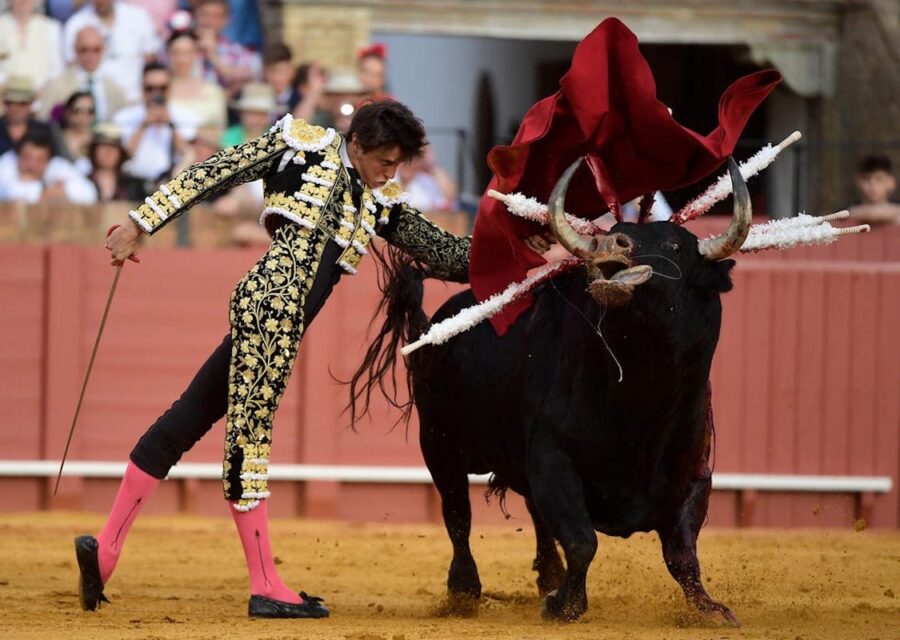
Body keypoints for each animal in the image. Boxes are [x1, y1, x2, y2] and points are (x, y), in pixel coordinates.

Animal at [352, 158, 752, 624]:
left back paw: (547, 576)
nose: (610, 242)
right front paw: (566, 604)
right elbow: (581, 539)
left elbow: (682, 553)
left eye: (674, 247)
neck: (638, 398)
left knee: (532, 513)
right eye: (619, 229)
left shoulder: (695, 471)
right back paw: (465, 591)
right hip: (438, 440)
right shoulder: (551, 456)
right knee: (457, 512)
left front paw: (710, 610)